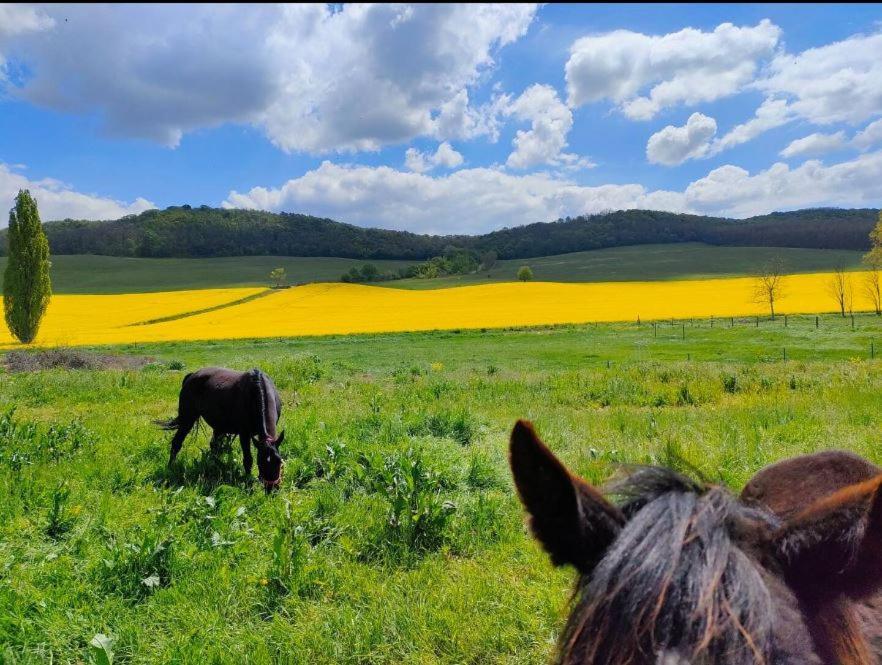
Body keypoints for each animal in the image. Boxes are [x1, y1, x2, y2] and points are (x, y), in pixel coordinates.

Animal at [155, 366, 284, 490]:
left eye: (279, 461)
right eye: (260, 463)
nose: (272, 489)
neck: (256, 391)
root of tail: (192, 375)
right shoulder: (244, 434)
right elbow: (248, 460)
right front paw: (248, 483)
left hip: (217, 426)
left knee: (214, 446)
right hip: (188, 419)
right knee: (177, 443)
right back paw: (170, 468)